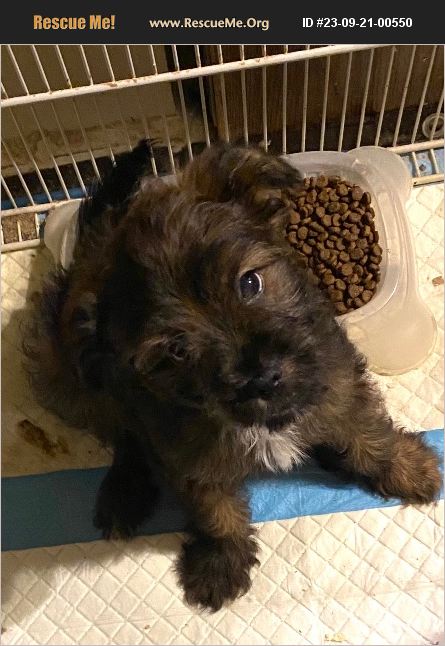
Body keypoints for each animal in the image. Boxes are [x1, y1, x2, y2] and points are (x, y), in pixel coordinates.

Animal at [25, 141, 441, 611]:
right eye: (176, 350)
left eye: (250, 283)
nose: (262, 378)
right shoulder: (189, 453)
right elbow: (214, 510)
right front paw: (220, 563)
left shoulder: (334, 383)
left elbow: (367, 433)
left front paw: (409, 468)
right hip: (66, 378)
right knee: (122, 431)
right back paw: (124, 491)